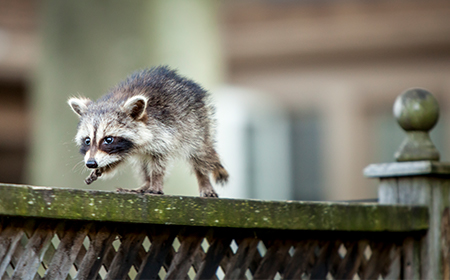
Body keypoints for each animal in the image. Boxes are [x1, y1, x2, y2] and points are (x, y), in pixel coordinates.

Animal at [67, 65, 229, 197]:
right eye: (87, 140)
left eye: (108, 139)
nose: (91, 163)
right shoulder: (122, 150)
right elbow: (117, 159)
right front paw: (103, 168)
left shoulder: (164, 132)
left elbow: (159, 161)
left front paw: (156, 182)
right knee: (142, 164)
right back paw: (145, 183)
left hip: (198, 124)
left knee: (200, 154)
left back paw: (203, 179)